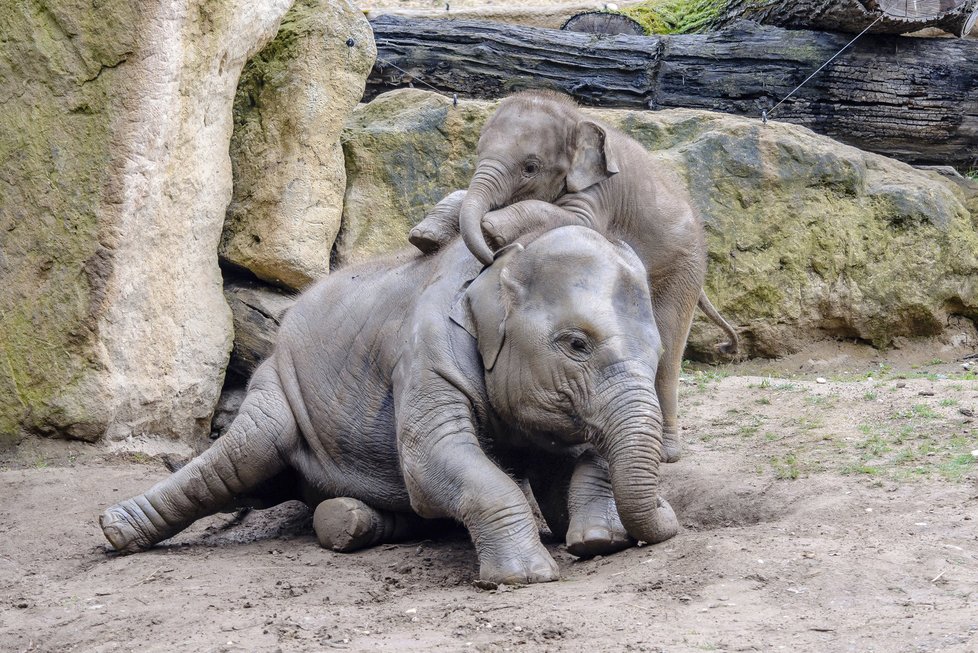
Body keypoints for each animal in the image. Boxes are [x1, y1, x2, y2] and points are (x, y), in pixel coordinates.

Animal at [101, 225, 680, 584]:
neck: (503, 261)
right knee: (243, 458)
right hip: (278, 384)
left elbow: (570, 463)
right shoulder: (425, 355)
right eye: (576, 344)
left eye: (656, 354)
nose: (671, 520)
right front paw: (526, 576)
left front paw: (597, 541)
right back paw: (116, 531)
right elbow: (431, 460)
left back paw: (347, 520)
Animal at [408, 90, 736, 464]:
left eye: (530, 167)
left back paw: (666, 455)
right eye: (477, 153)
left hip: (684, 268)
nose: (490, 258)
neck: (575, 115)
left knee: (668, 349)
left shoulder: (600, 191)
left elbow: (575, 221)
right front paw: (425, 237)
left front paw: (491, 229)